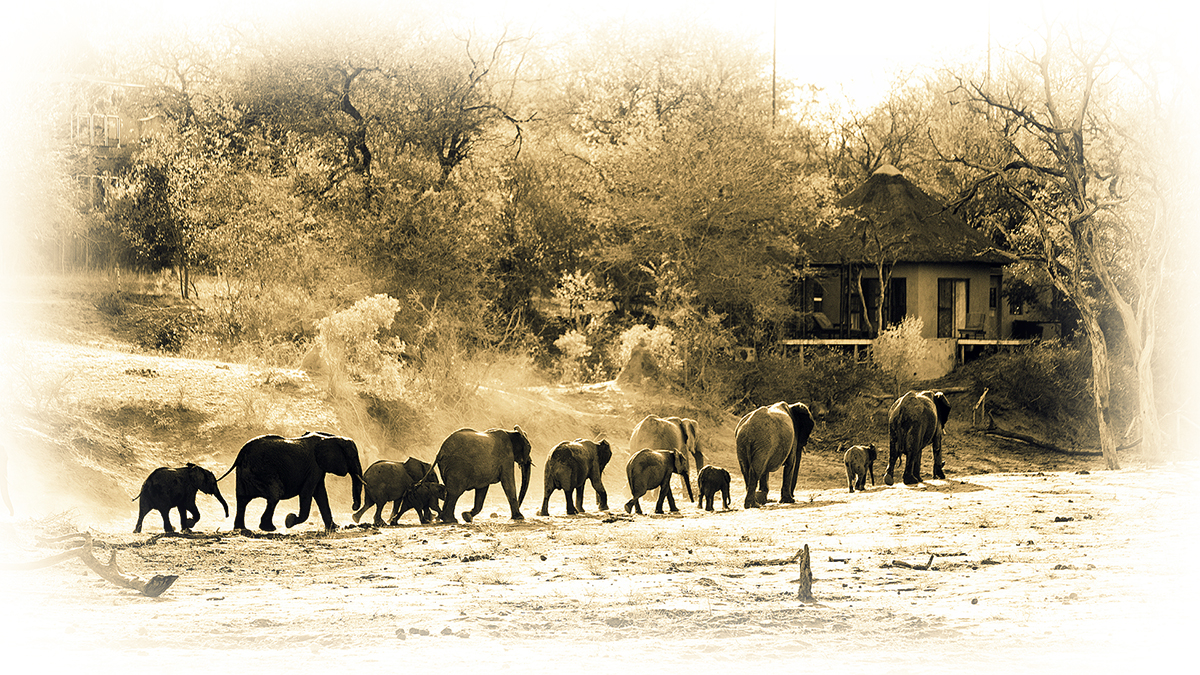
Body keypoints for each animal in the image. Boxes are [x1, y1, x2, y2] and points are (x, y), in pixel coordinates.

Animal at [219, 431, 364, 532]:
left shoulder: (318, 468)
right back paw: (269, 528)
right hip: (261, 471)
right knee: (275, 494)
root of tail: (241, 452)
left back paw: (242, 529)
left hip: (244, 473)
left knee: (242, 499)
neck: (331, 437)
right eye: (353, 456)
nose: (353, 506)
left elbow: (321, 494)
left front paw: (335, 528)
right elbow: (307, 493)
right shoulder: (314, 467)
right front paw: (290, 520)